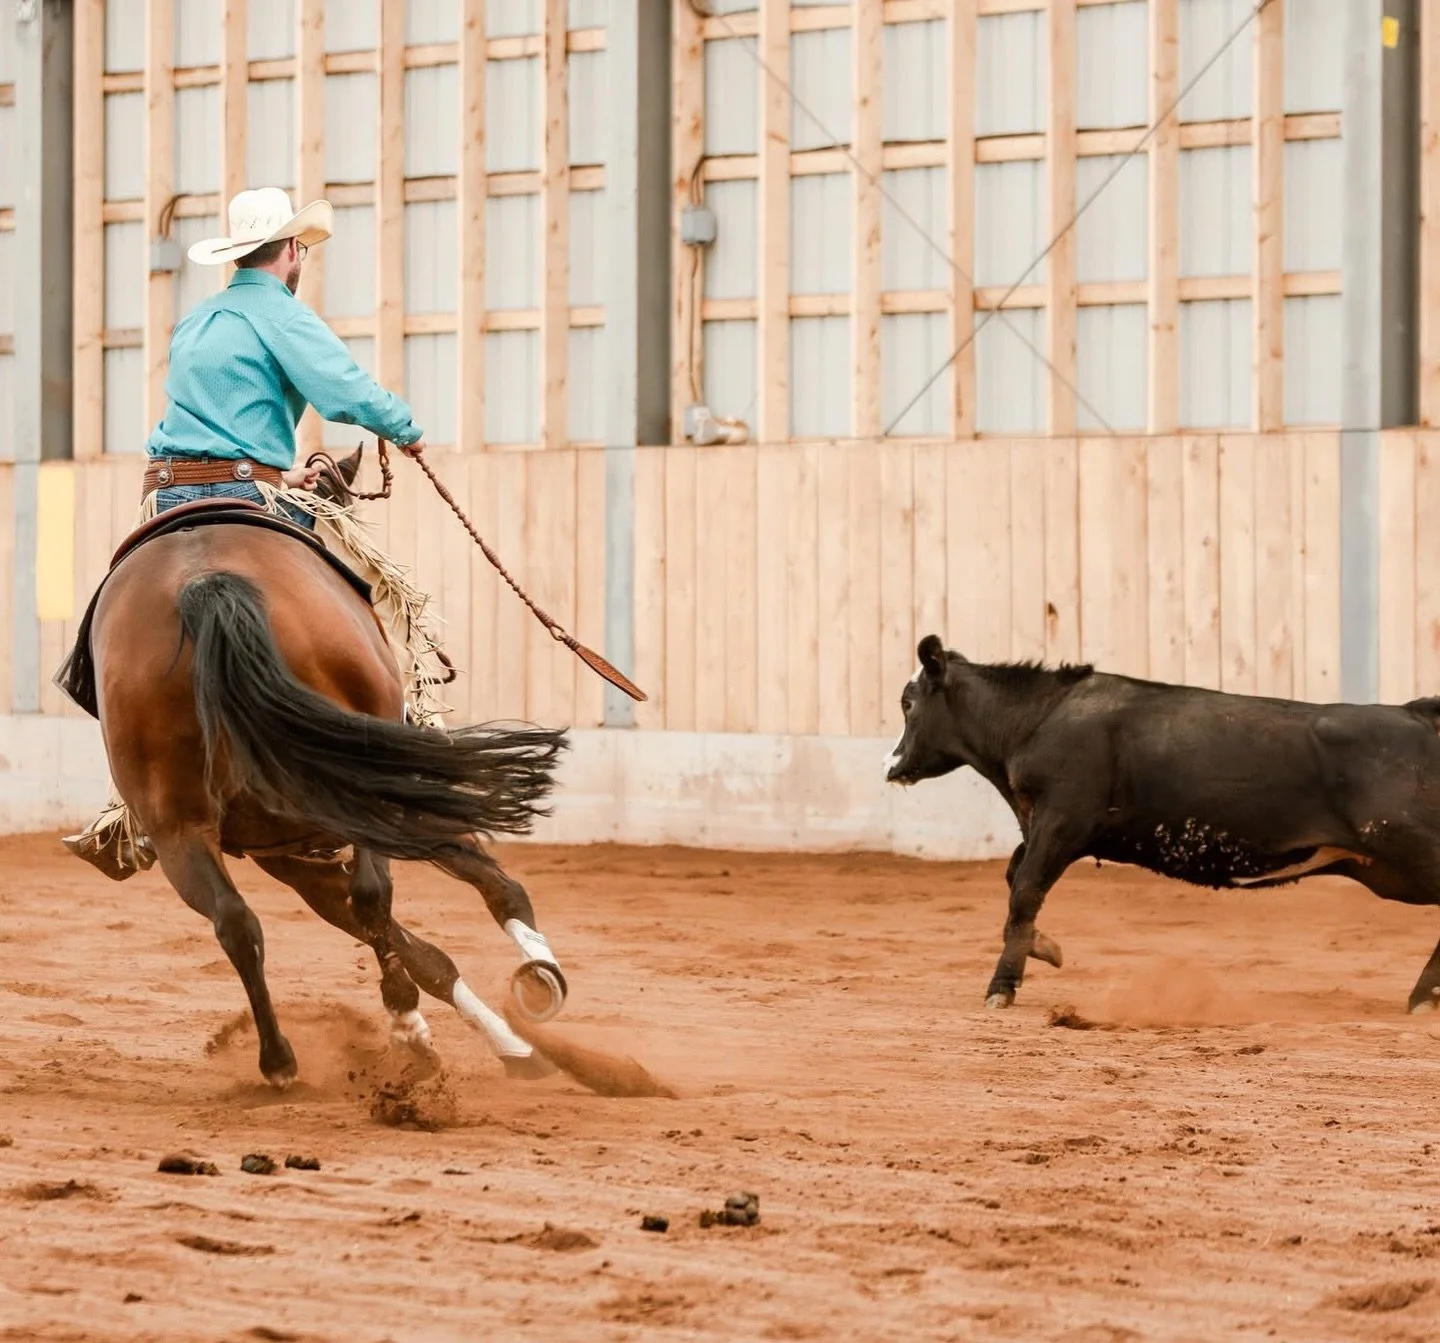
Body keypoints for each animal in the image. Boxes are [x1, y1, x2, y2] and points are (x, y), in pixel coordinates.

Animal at [56, 448, 572, 1088]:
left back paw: (281, 1061)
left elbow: (428, 934)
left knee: (237, 922)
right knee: (368, 896)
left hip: (180, 826)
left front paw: (513, 1028)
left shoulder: (294, 856)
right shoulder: (346, 830)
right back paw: (396, 1028)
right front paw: (527, 1002)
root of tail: (205, 584)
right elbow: (476, 899)